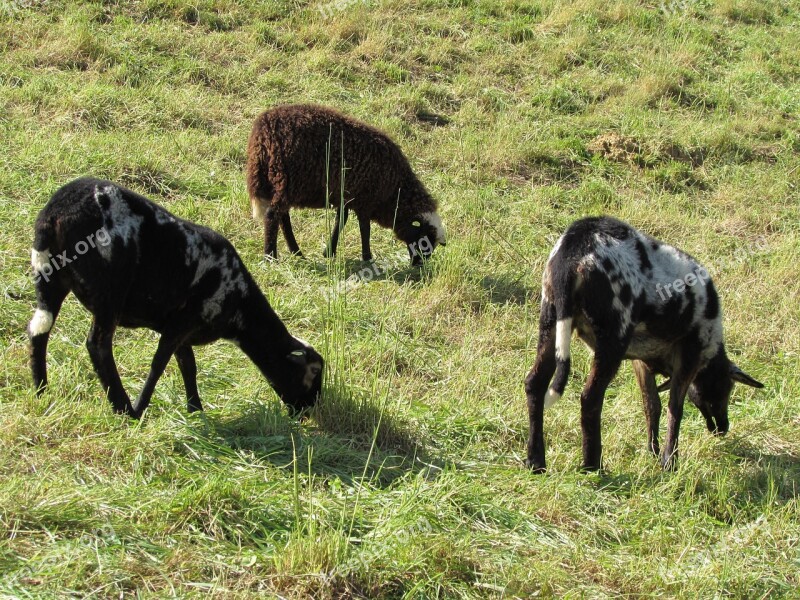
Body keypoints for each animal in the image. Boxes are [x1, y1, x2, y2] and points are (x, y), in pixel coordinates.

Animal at [28, 178, 322, 418]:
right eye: (313, 372)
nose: (307, 413)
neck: (241, 313)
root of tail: (55, 212)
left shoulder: (181, 329)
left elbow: (187, 365)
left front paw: (195, 410)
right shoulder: (182, 322)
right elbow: (159, 364)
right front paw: (142, 408)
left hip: (49, 277)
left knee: (38, 330)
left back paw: (41, 390)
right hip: (109, 291)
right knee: (97, 345)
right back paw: (124, 409)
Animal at [245, 104, 444, 264]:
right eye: (424, 239)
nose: (418, 265)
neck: (395, 191)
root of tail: (263, 130)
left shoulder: (347, 195)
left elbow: (341, 220)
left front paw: (329, 252)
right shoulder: (365, 200)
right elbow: (364, 228)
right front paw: (367, 257)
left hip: (280, 183)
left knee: (283, 217)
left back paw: (297, 253)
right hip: (287, 180)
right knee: (273, 215)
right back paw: (270, 257)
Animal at [524, 216, 764, 474]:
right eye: (727, 387)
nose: (722, 428)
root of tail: (576, 244)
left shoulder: (640, 360)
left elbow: (651, 405)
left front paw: (654, 452)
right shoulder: (690, 357)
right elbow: (674, 408)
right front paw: (670, 461)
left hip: (551, 318)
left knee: (535, 383)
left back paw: (536, 461)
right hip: (613, 336)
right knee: (590, 398)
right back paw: (593, 466)